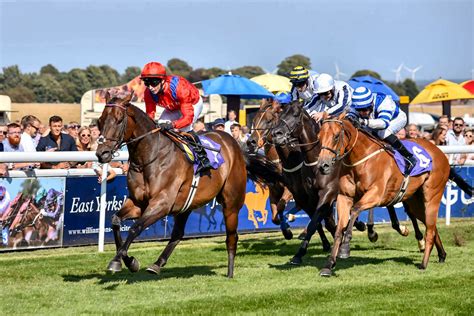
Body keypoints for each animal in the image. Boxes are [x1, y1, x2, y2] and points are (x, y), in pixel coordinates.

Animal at [95, 92, 282, 278]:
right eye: (100, 120)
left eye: (119, 119)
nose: (101, 153)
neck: (149, 158)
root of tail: (236, 147)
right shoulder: (137, 202)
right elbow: (115, 220)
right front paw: (127, 261)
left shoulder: (162, 204)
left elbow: (135, 228)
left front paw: (118, 261)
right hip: (186, 205)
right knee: (178, 234)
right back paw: (157, 264)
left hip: (231, 203)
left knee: (231, 236)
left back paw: (229, 272)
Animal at [316, 113, 450, 276]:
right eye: (319, 137)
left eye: (336, 136)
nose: (323, 165)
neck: (361, 158)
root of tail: (439, 151)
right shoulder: (344, 197)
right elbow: (338, 230)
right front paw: (328, 265)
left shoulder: (376, 195)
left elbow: (355, 210)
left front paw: (345, 247)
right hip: (415, 200)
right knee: (431, 225)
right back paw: (442, 254)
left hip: (432, 195)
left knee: (430, 230)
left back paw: (424, 263)